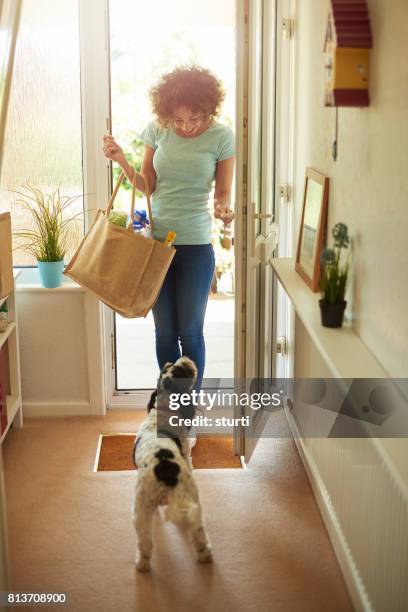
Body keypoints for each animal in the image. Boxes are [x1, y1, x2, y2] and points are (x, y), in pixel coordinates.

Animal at [133, 356, 212, 572]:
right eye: (179, 369)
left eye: (170, 368)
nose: (184, 358)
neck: (163, 409)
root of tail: (166, 470)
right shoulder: (185, 449)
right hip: (190, 496)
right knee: (198, 531)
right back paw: (205, 556)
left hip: (142, 508)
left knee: (145, 541)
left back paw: (142, 565)